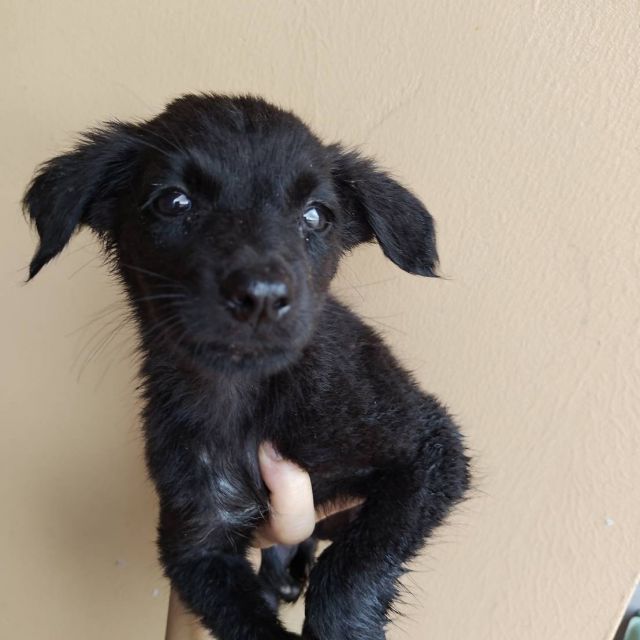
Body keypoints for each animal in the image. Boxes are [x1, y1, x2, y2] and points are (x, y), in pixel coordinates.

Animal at [23, 94, 470, 640]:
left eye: (316, 215)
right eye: (174, 202)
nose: (261, 297)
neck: (247, 395)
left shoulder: (430, 448)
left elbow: (354, 565)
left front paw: (346, 625)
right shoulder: (197, 543)